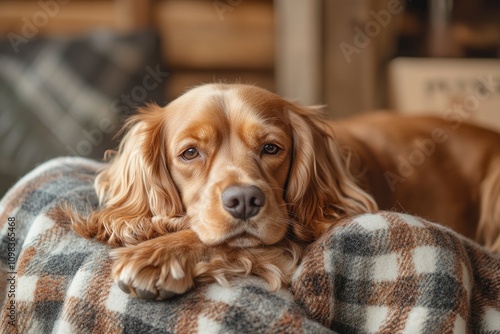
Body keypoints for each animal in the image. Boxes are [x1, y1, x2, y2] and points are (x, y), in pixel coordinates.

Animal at [67, 83, 500, 300]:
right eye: (190, 153)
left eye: (272, 148)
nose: (244, 201)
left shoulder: (298, 239)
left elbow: (221, 242)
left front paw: (158, 256)